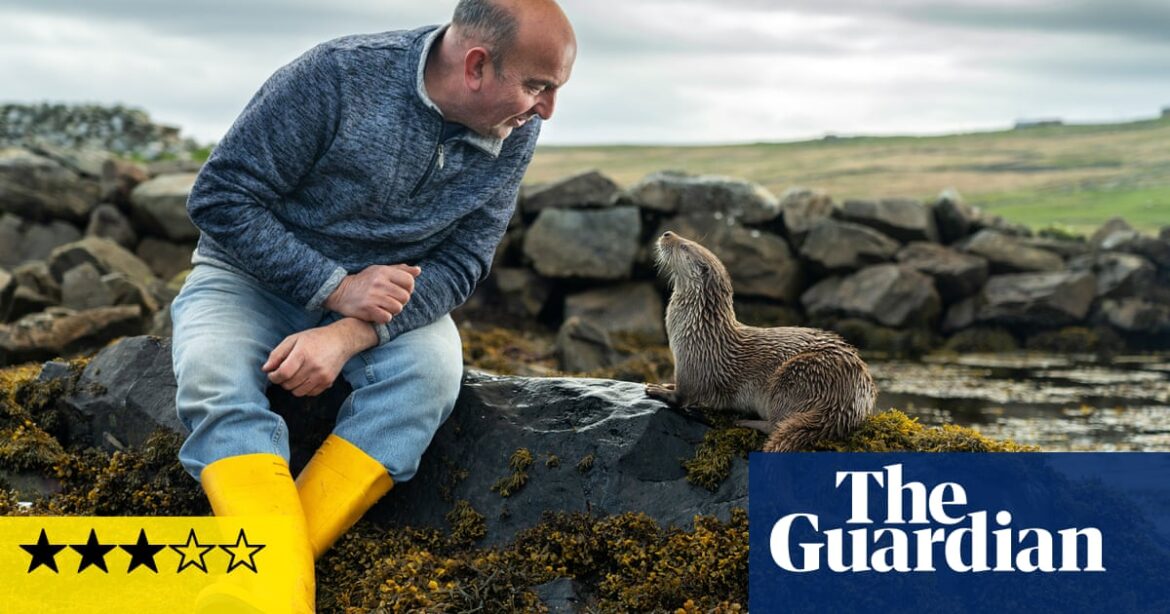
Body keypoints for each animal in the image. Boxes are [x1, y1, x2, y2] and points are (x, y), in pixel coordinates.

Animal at [650, 229, 879, 449]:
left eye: (685, 245)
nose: (667, 234)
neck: (699, 328)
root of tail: (849, 400)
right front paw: (665, 384)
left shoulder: (694, 363)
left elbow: (683, 396)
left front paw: (659, 390)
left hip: (794, 377)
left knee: (777, 423)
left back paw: (745, 422)